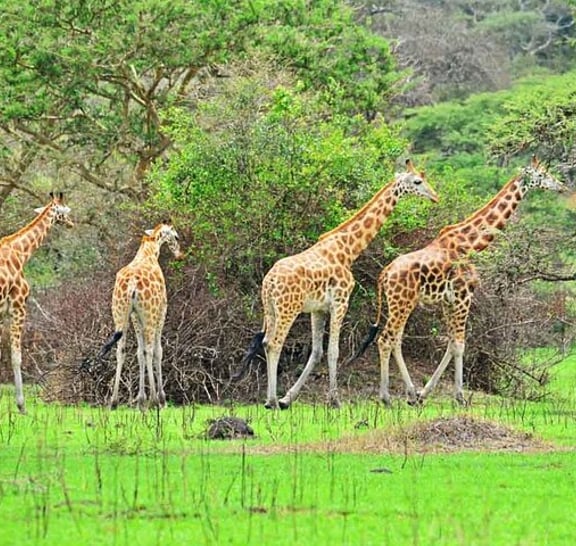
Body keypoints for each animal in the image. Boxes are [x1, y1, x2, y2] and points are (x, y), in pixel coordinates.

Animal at [0, 192, 73, 414]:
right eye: (66, 211)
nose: (71, 223)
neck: (21, 252)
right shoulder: (18, 306)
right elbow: (16, 356)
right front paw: (21, 405)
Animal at [98, 222, 182, 410]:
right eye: (176, 236)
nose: (180, 254)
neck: (150, 251)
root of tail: (132, 284)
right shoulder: (161, 311)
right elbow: (157, 351)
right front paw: (158, 398)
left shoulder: (135, 316)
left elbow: (138, 352)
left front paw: (140, 399)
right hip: (149, 315)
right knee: (150, 350)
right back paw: (156, 400)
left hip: (119, 314)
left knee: (120, 350)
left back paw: (114, 401)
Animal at [237, 160, 439, 409]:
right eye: (417, 181)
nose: (435, 196)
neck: (348, 250)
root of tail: (268, 282)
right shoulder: (341, 302)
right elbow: (334, 351)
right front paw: (335, 400)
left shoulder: (318, 309)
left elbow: (317, 352)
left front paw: (289, 397)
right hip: (288, 309)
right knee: (274, 343)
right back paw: (271, 401)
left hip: (270, 309)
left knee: (265, 342)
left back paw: (271, 399)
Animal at [354, 156, 565, 406]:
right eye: (542, 175)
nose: (561, 186)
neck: (471, 242)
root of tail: (384, 274)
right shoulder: (464, 295)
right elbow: (460, 344)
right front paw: (460, 396)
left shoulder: (448, 300)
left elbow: (450, 343)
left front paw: (425, 393)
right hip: (403, 302)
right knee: (386, 339)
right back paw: (387, 397)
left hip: (399, 303)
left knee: (395, 338)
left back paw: (410, 394)